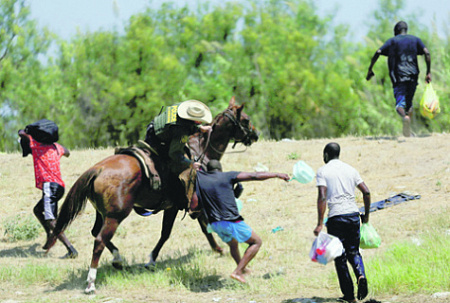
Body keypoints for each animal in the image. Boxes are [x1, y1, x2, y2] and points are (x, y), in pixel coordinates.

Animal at [45, 97, 258, 292]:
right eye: (246, 119)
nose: (255, 135)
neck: (200, 152)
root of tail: (98, 169)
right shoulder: (178, 206)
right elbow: (169, 233)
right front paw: (152, 260)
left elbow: (200, 228)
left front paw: (217, 248)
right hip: (116, 216)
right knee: (99, 241)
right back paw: (91, 282)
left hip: (102, 213)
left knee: (96, 233)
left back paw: (118, 259)